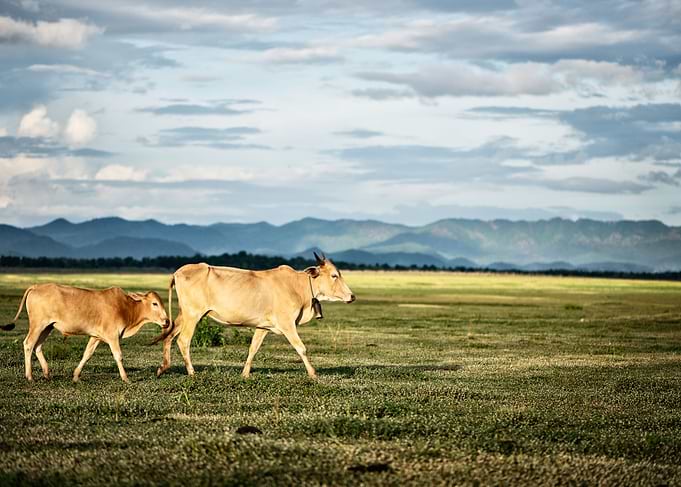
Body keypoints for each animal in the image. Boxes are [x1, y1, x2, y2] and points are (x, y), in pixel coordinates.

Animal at [1, 284, 170, 383]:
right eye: (155, 303)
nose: (167, 321)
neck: (126, 307)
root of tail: (36, 287)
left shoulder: (96, 337)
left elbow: (87, 355)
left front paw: (76, 376)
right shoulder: (112, 336)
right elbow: (118, 356)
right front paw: (125, 378)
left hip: (47, 327)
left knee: (38, 347)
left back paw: (47, 373)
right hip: (38, 325)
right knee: (29, 344)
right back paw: (29, 376)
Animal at [155, 252, 355, 379]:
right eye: (334, 275)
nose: (352, 296)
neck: (298, 286)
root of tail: (178, 271)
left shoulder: (263, 326)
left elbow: (253, 348)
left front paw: (244, 374)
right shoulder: (287, 324)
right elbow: (301, 348)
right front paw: (313, 374)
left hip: (185, 315)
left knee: (169, 336)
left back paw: (163, 368)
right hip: (193, 315)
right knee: (183, 341)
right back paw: (191, 372)